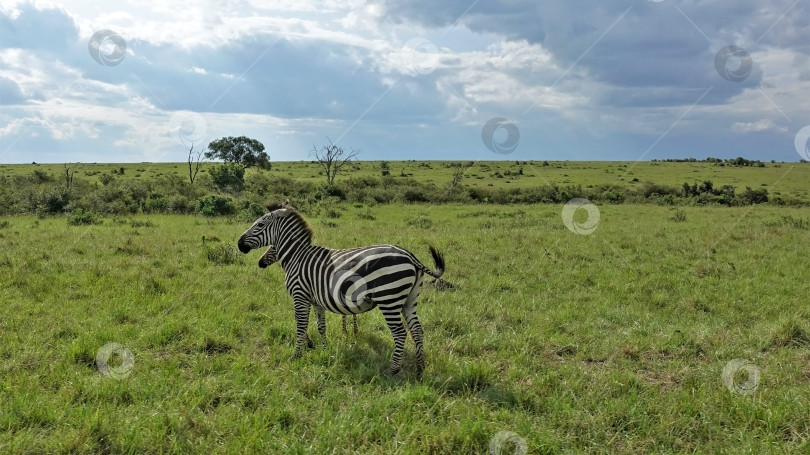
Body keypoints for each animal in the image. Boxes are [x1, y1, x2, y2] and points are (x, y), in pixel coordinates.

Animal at [237, 205, 446, 376]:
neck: (297, 256)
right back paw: (420, 367)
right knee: (417, 330)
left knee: (400, 333)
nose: (239, 244)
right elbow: (320, 326)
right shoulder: (315, 300)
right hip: (409, 299)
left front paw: (297, 355)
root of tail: (410, 256)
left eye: (260, 224)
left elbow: (301, 326)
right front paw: (324, 349)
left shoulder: (300, 295)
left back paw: (393, 370)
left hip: (389, 299)